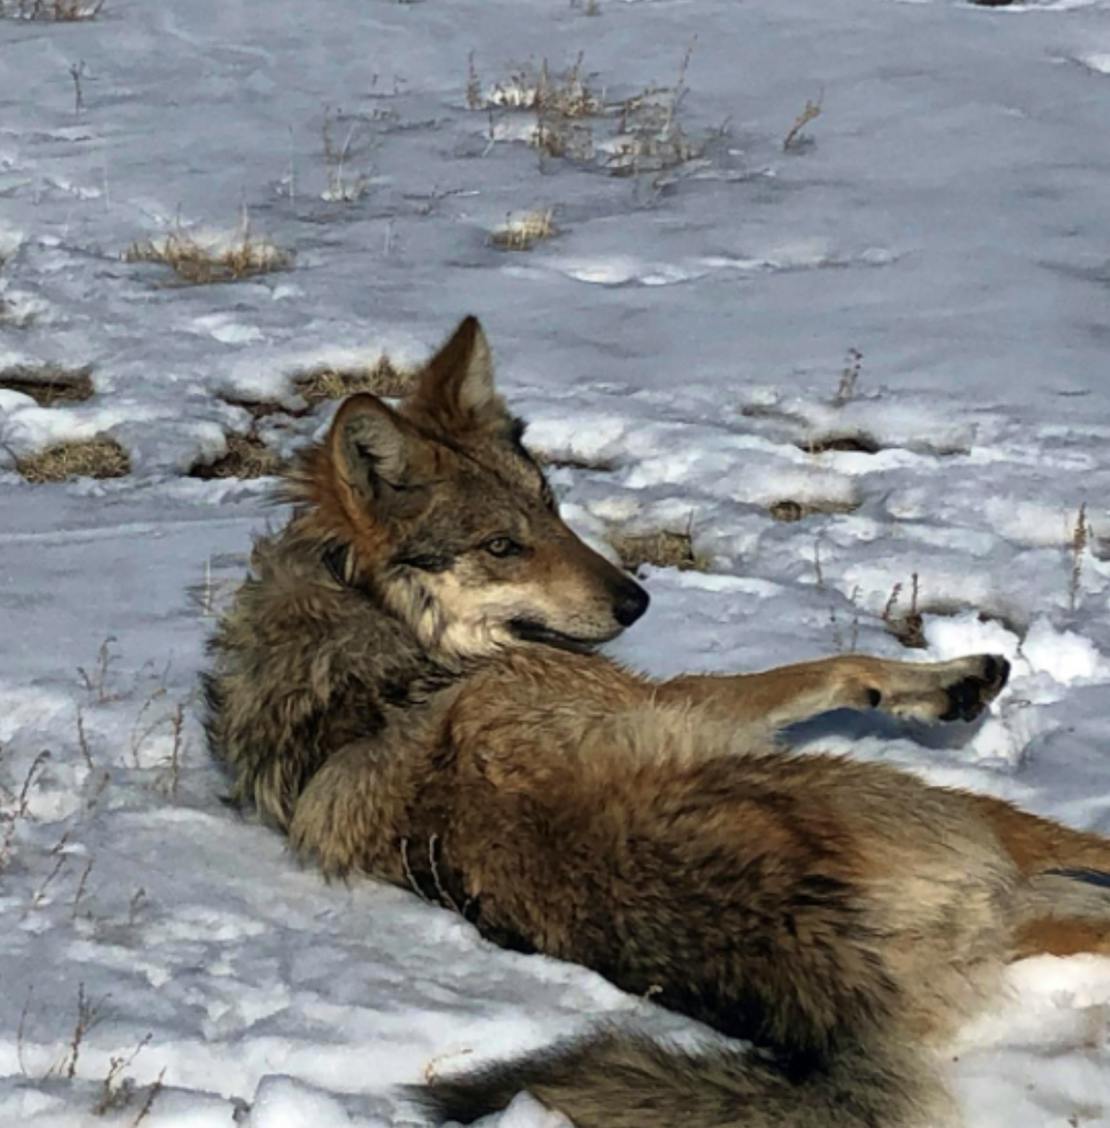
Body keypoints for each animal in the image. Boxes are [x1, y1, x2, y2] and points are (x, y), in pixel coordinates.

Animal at [204, 318, 1110, 1128]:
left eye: (551, 507)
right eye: (501, 546)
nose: (638, 601)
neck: (368, 610)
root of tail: (819, 975)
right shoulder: (687, 697)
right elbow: (829, 667)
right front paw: (955, 681)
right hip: (946, 809)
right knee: (1082, 850)